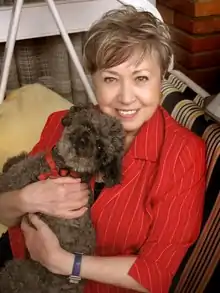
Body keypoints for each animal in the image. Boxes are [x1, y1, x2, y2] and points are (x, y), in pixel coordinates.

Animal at [0, 102, 124, 292]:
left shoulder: (18, 179)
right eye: (89, 126)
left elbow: (8, 175)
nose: (84, 142)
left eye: (100, 148)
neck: (65, 168)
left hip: (16, 271)